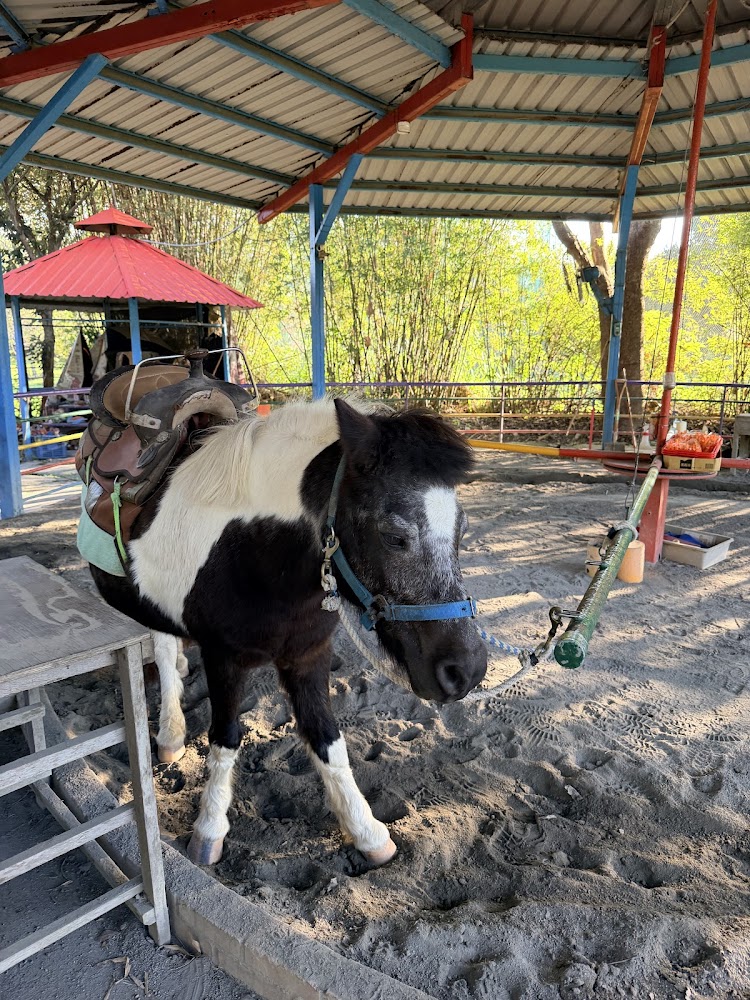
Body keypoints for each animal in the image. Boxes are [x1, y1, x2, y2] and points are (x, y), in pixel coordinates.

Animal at [89, 396, 487, 866]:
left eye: (463, 530)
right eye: (393, 537)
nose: (465, 672)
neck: (251, 552)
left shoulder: (309, 654)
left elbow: (328, 740)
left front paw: (366, 831)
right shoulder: (223, 658)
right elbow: (225, 739)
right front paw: (209, 828)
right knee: (165, 651)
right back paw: (170, 733)